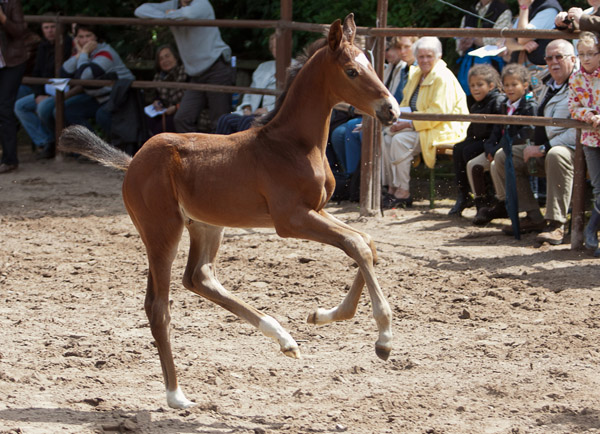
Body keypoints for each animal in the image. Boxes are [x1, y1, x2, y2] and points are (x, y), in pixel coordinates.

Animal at [59, 12, 398, 406]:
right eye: (352, 71)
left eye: (372, 64)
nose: (391, 110)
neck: (291, 145)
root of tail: (133, 162)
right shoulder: (291, 219)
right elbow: (356, 245)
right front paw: (383, 338)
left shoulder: (317, 210)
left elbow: (366, 243)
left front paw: (324, 315)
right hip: (162, 231)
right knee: (159, 306)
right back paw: (176, 394)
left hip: (206, 225)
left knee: (199, 277)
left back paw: (284, 339)